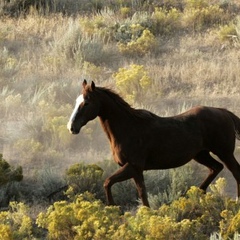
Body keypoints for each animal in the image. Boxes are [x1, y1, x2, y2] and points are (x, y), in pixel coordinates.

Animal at [66, 79, 240, 207]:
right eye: (76, 101)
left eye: (86, 103)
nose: (71, 127)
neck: (129, 128)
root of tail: (223, 112)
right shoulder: (135, 170)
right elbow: (138, 191)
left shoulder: (134, 167)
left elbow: (111, 183)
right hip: (201, 154)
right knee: (216, 168)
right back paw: (196, 194)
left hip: (224, 152)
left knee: (234, 171)